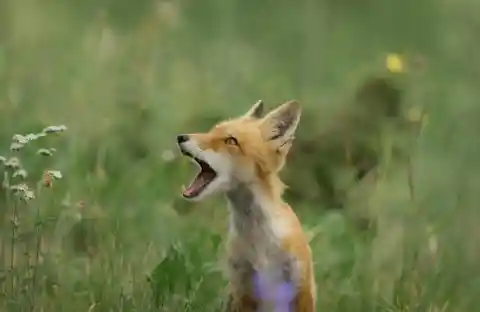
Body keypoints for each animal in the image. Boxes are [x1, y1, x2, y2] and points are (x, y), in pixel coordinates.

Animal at [176, 100, 316, 312]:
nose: (180, 137)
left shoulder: (302, 290)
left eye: (231, 141)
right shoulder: (243, 292)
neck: (259, 243)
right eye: (212, 131)